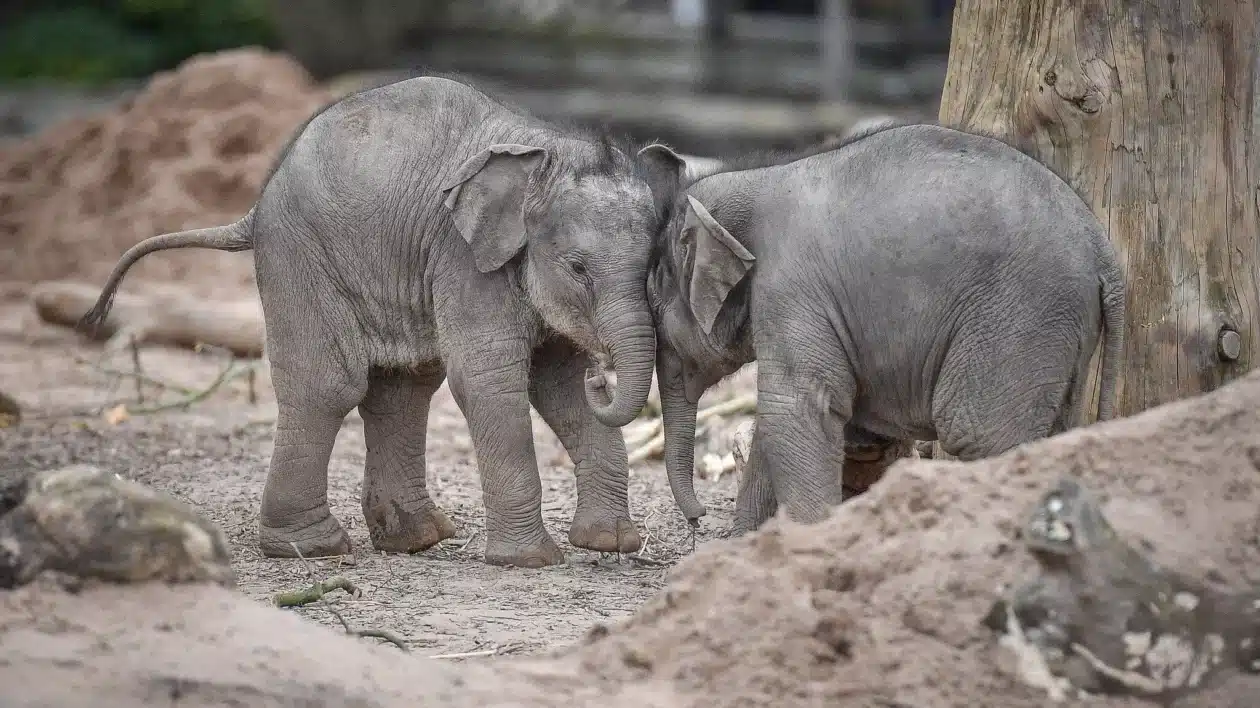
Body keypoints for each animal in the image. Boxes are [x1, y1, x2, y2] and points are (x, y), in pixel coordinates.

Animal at [79, 75, 678, 568]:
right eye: (577, 268)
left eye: (654, 264)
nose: (604, 373)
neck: (548, 147)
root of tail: (255, 206)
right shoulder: (465, 260)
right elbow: (489, 381)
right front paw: (531, 561)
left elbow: (556, 387)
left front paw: (611, 544)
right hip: (300, 257)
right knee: (329, 388)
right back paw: (313, 548)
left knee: (402, 388)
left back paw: (417, 539)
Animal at [636, 123, 1125, 534]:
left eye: (655, 300)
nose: (697, 519)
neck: (754, 179)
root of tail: (1104, 251)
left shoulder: (791, 290)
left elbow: (796, 407)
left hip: (1018, 319)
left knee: (984, 436)